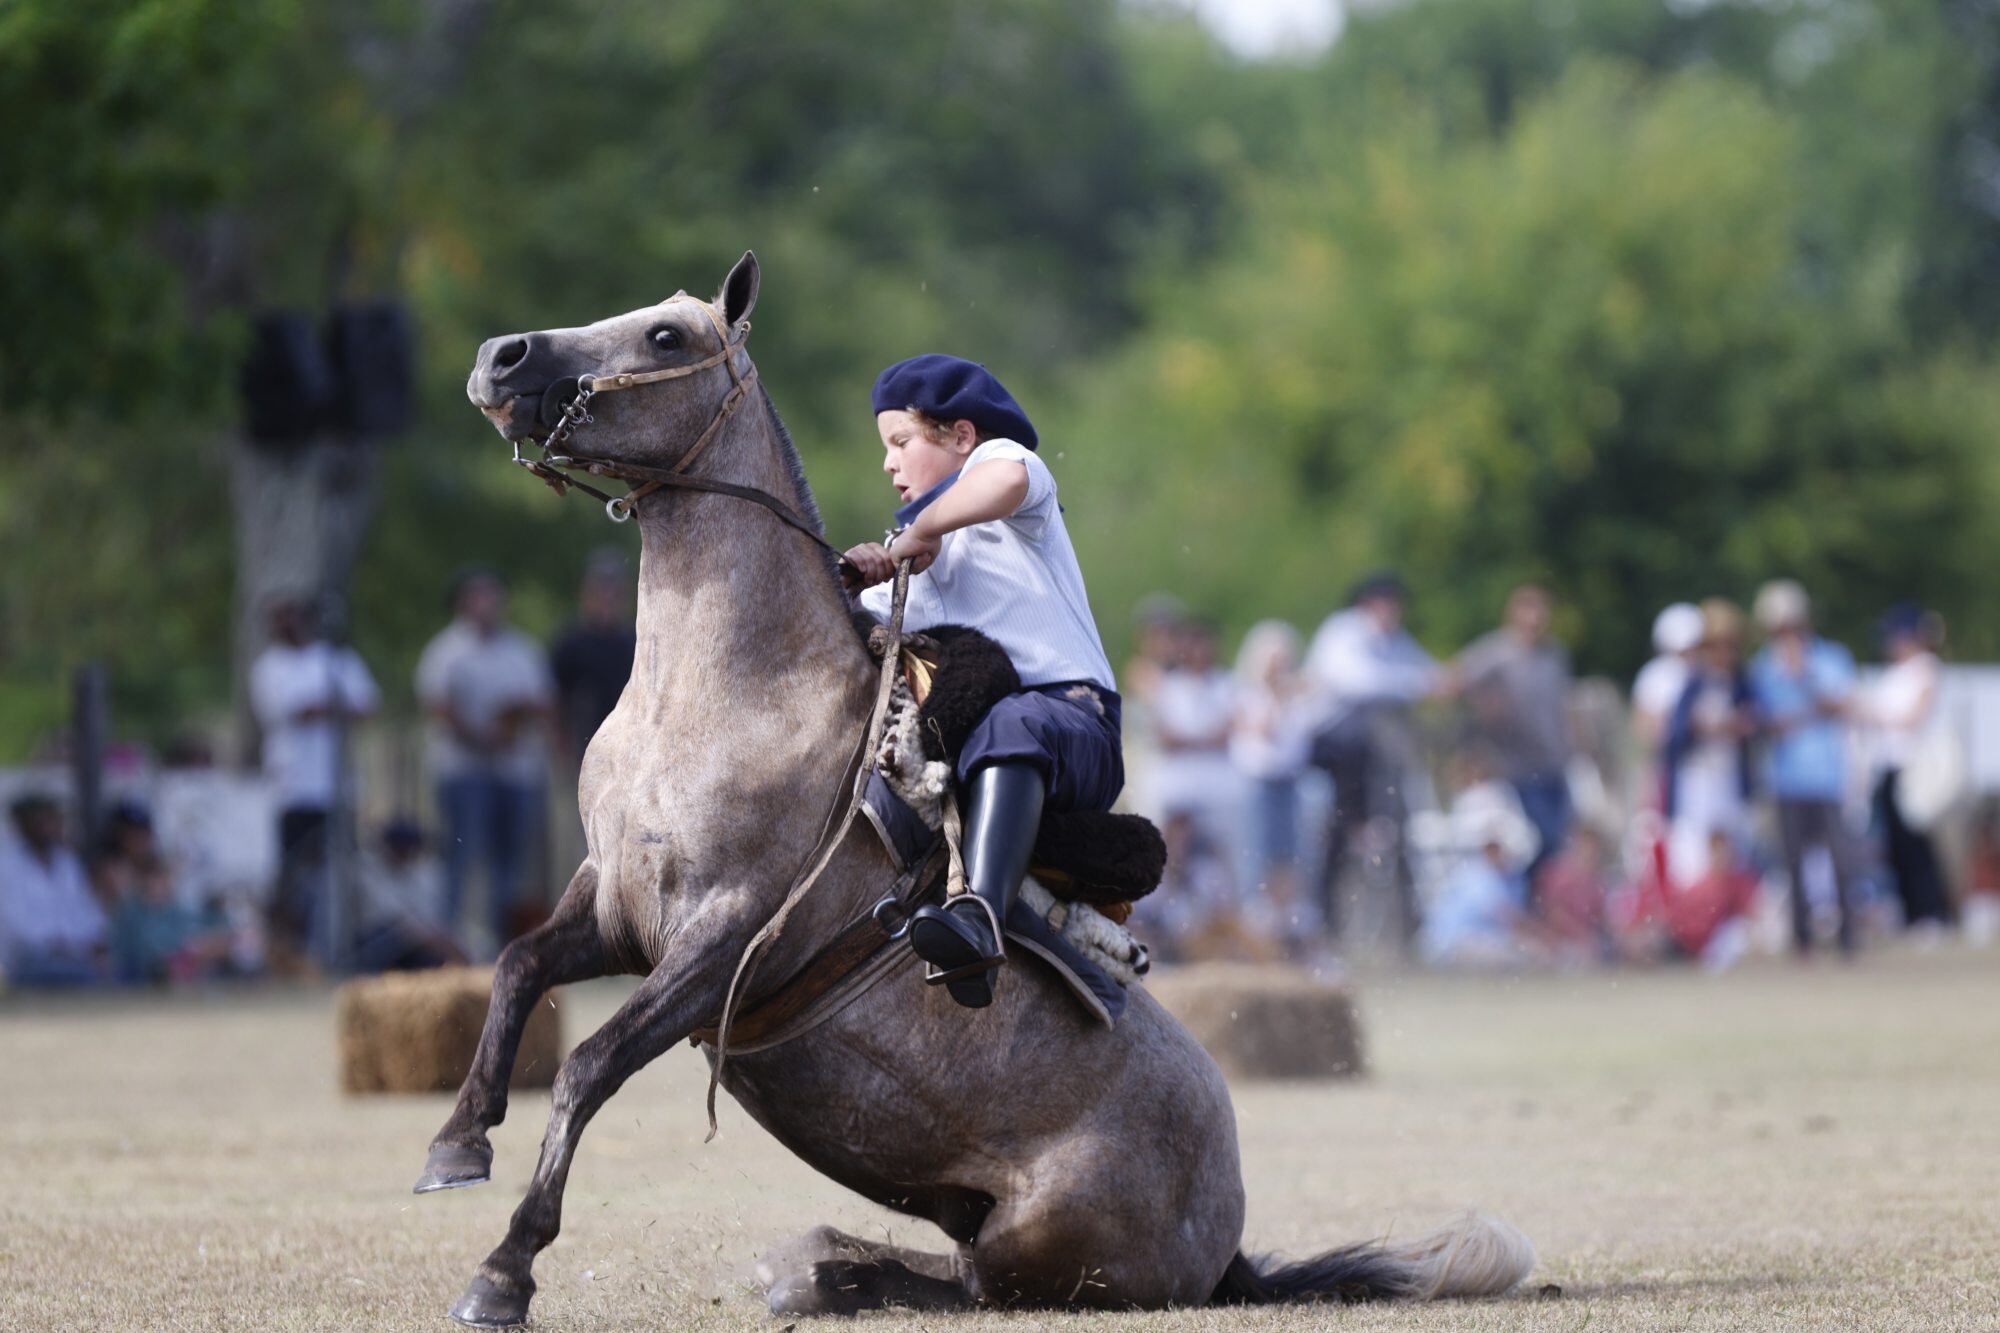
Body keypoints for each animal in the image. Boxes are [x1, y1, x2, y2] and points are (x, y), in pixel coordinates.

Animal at [427, 251, 1535, 1326]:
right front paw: (458, 1140)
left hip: (1033, 1237)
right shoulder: (613, 905)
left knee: (973, 1285)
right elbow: (518, 966)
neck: (721, 695)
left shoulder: (725, 935)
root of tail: (1228, 1250)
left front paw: (502, 1271)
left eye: (664, 335)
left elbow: (587, 1066)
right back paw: (815, 1263)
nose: (498, 356)